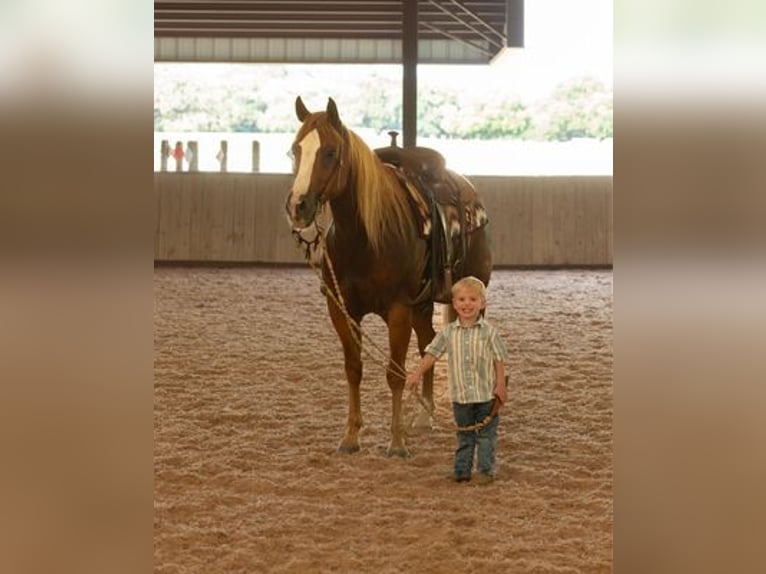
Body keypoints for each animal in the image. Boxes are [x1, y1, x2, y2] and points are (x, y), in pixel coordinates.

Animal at [285, 96, 492, 457]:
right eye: (296, 149)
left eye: (330, 152)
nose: (298, 206)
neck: (365, 239)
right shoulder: (341, 310)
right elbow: (354, 369)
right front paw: (351, 436)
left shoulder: (397, 310)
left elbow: (395, 373)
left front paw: (396, 442)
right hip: (422, 305)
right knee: (427, 344)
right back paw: (424, 415)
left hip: (471, 292)